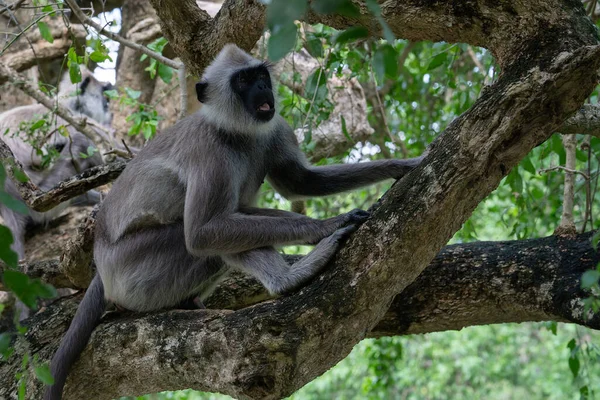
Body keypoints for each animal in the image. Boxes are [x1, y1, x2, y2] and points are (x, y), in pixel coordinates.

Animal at [44, 44, 424, 400]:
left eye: (261, 76)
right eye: (243, 81)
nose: (262, 88)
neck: (238, 131)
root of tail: (101, 263)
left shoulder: (274, 128)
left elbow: (299, 182)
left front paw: (401, 165)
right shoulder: (207, 149)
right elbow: (201, 233)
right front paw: (327, 225)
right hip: (132, 267)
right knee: (203, 239)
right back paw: (288, 280)